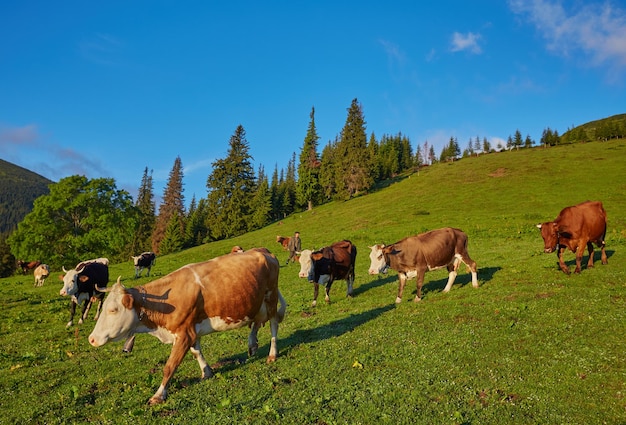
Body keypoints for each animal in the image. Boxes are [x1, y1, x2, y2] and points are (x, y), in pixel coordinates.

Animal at [88, 247, 288, 402]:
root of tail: (262, 250)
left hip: (271, 298)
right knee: (256, 322)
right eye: (103, 307)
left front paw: (158, 395)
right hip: (254, 302)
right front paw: (206, 372)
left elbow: (170, 366)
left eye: (113, 310)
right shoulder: (191, 329)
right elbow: (196, 351)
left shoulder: (184, 333)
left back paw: (272, 354)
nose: (91, 339)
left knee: (273, 324)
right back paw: (252, 345)